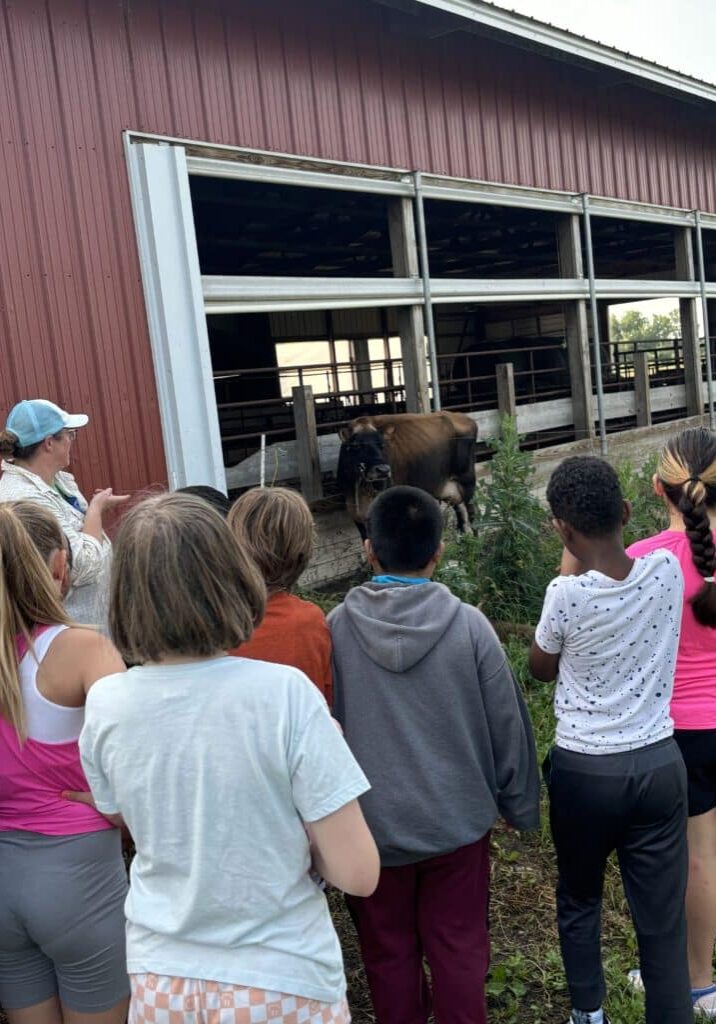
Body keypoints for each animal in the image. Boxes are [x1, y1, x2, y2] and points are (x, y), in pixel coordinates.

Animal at [338, 409, 481, 536]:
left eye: (383, 445)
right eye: (356, 445)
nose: (383, 470)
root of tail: (463, 417)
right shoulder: (356, 516)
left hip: (467, 481)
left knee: (473, 512)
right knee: (460, 513)